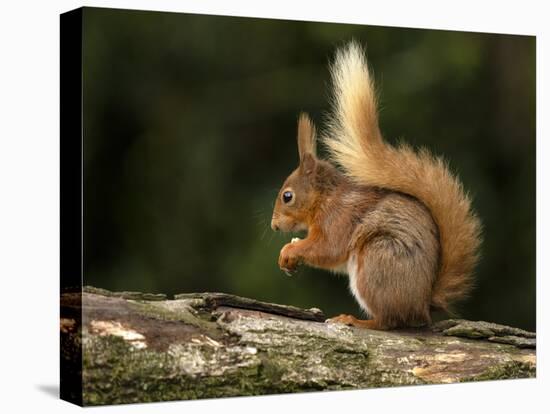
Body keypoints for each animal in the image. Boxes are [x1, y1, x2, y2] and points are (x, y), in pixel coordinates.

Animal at [272, 42, 484, 330]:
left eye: (287, 196)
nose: (274, 226)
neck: (326, 199)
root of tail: (421, 307)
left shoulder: (339, 220)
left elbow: (327, 249)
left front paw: (290, 250)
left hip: (376, 262)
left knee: (388, 321)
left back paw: (355, 320)